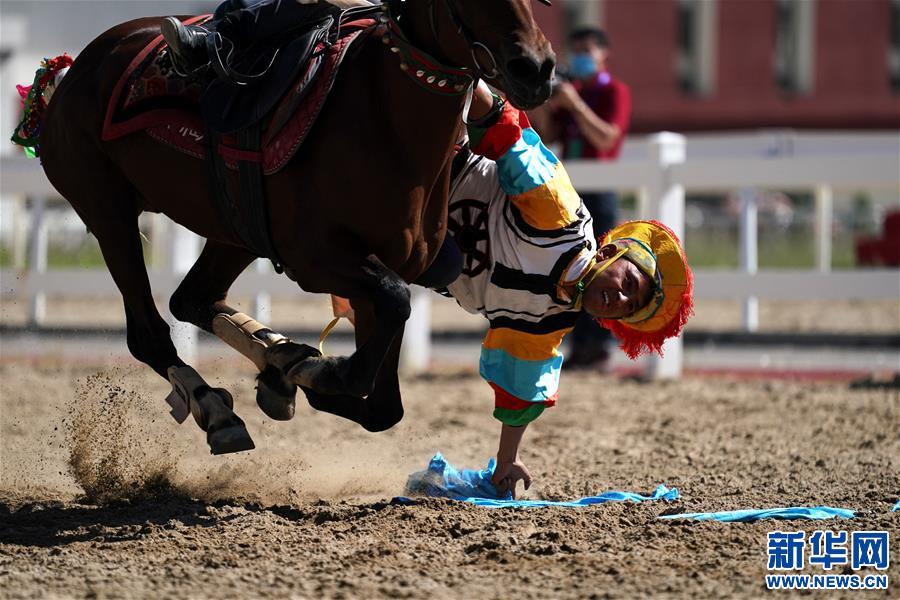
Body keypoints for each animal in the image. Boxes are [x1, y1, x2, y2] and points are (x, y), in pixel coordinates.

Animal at [37, 0, 556, 454]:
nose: (536, 68)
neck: (381, 117)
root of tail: (77, 68)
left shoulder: (383, 268)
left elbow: (384, 405)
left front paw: (295, 373)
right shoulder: (317, 259)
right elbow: (391, 311)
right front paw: (323, 373)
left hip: (233, 232)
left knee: (193, 298)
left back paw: (276, 363)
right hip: (108, 213)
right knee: (148, 332)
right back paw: (218, 409)